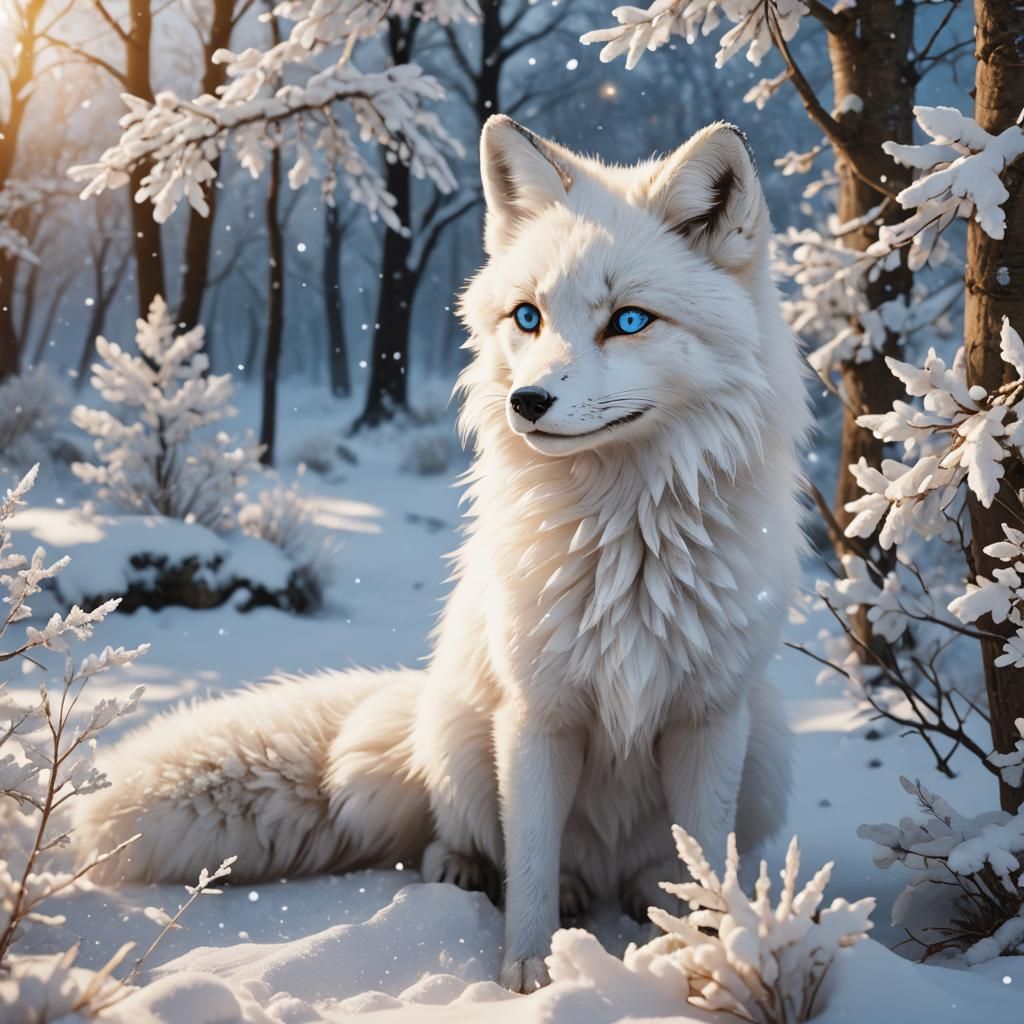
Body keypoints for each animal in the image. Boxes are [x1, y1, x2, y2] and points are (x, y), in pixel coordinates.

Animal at [76, 116, 809, 992]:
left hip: (765, 748)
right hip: (465, 739)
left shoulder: (709, 717)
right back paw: (476, 874)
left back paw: (642, 895)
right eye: (527, 317)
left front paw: (710, 963)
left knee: (660, 865)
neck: (624, 537)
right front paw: (530, 973)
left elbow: (703, 865)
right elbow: (529, 865)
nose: (527, 401)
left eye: (629, 321)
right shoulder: (534, 717)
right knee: (474, 842)